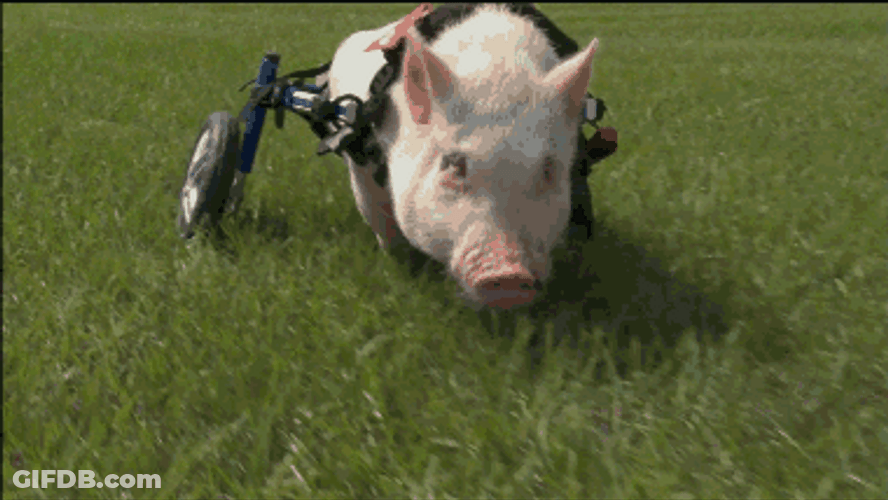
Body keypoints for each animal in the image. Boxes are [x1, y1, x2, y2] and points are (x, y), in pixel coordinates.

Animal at [328, 4, 600, 310]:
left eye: (548, 169)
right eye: (453, 164)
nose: (510, 275)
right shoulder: (361, 162)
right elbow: (380, 221)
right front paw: (401, 270)